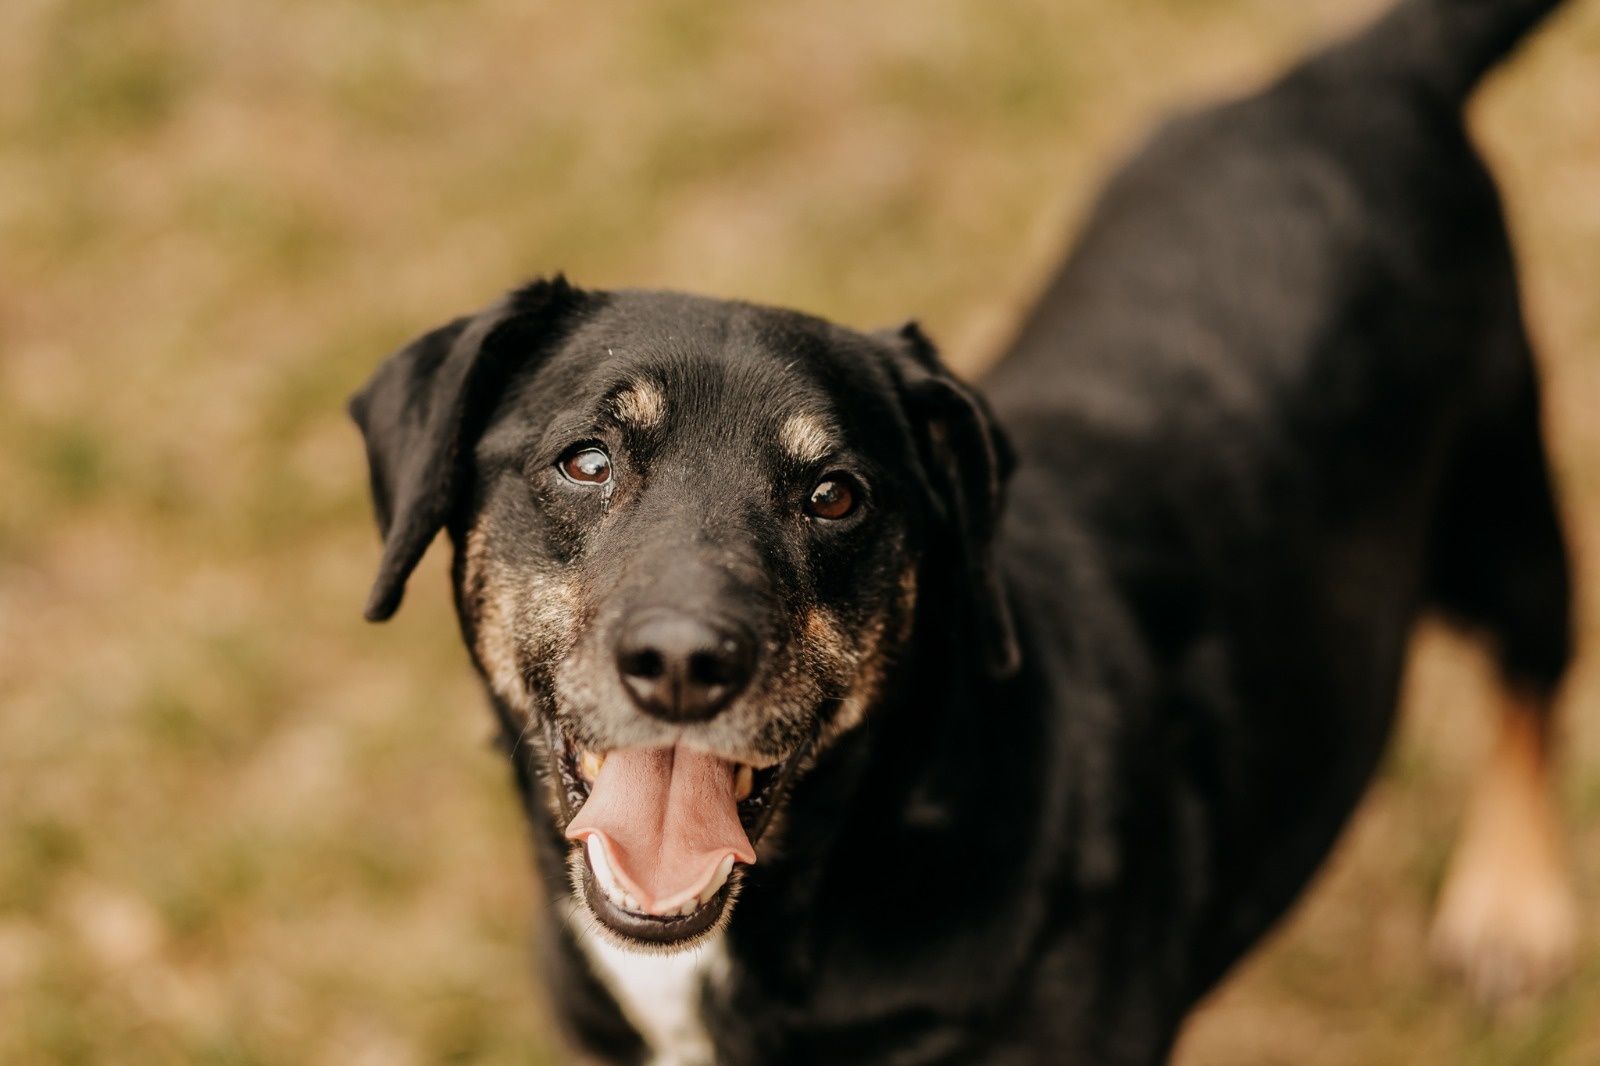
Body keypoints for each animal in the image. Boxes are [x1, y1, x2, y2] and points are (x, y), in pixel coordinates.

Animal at [344, 0, 1580, 1056]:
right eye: (585, 460)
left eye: (837, 494)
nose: (685, 663)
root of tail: (1355, 72)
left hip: (1503, 498)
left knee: (1534, 669)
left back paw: (1512, 907)